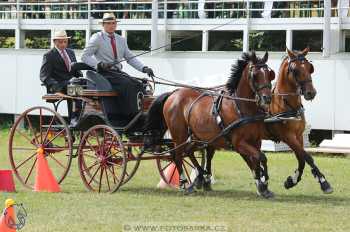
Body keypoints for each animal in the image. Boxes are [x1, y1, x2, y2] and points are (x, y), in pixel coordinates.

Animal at [145, 51, 276, 198]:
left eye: (269, 74)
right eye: (255, 75)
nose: (267, 98)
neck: (240, 105)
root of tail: (173, 93)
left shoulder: (255, 141)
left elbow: (256, 160)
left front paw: (261, 185)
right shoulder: (239, 143)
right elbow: (260, 157)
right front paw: (264, 182)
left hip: (196, 136)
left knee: (188, 151)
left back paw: (200, 177)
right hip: (179, 134)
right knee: (177, 155)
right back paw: (184, 184)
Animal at [204, 47, 332, 194]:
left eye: (310, 68)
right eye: (295, 70)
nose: (311, 93)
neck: (286, 103)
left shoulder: (298, 136)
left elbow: (301, 159)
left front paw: (291, 181)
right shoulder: (288, 137)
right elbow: (307, 157)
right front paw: (323, 182)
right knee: (211, 153)